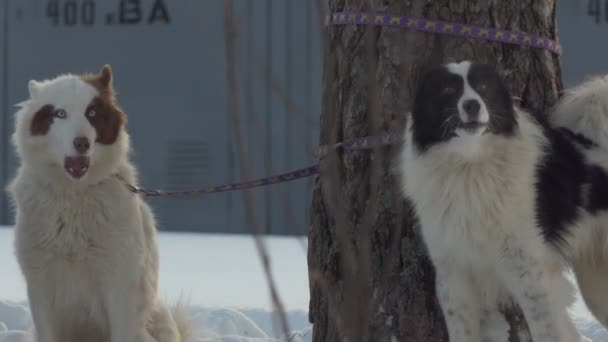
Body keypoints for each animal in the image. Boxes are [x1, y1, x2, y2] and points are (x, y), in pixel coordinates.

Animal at [7, 65, 192, 340]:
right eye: (60, 113)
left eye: (91, 112)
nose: (82, 143)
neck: (74, 194)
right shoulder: (41, 285)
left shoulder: (119, 285)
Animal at [396, 60, 604, 340]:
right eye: (448, 90)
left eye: (483, 87)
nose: (472, 105)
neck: (470, 168)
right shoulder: (453, 273)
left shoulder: (529, 270)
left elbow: (545, 329)